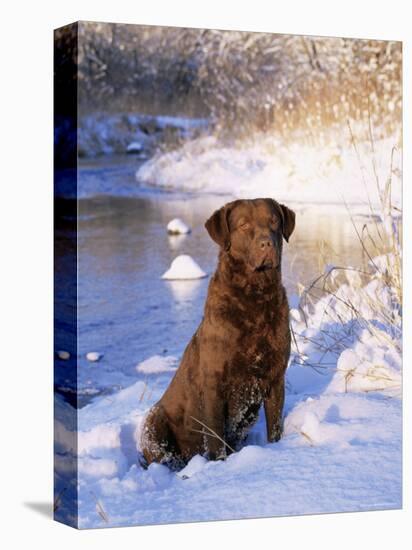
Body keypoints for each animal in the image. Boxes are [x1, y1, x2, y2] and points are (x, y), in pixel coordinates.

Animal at [140, 198, 294, 470]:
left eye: (274, 221)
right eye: (243, 225)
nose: (267, 243)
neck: (256, 300)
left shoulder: (276, 378)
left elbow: (275, 427)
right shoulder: (214, 384)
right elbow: (214, 436)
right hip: (153, 421)